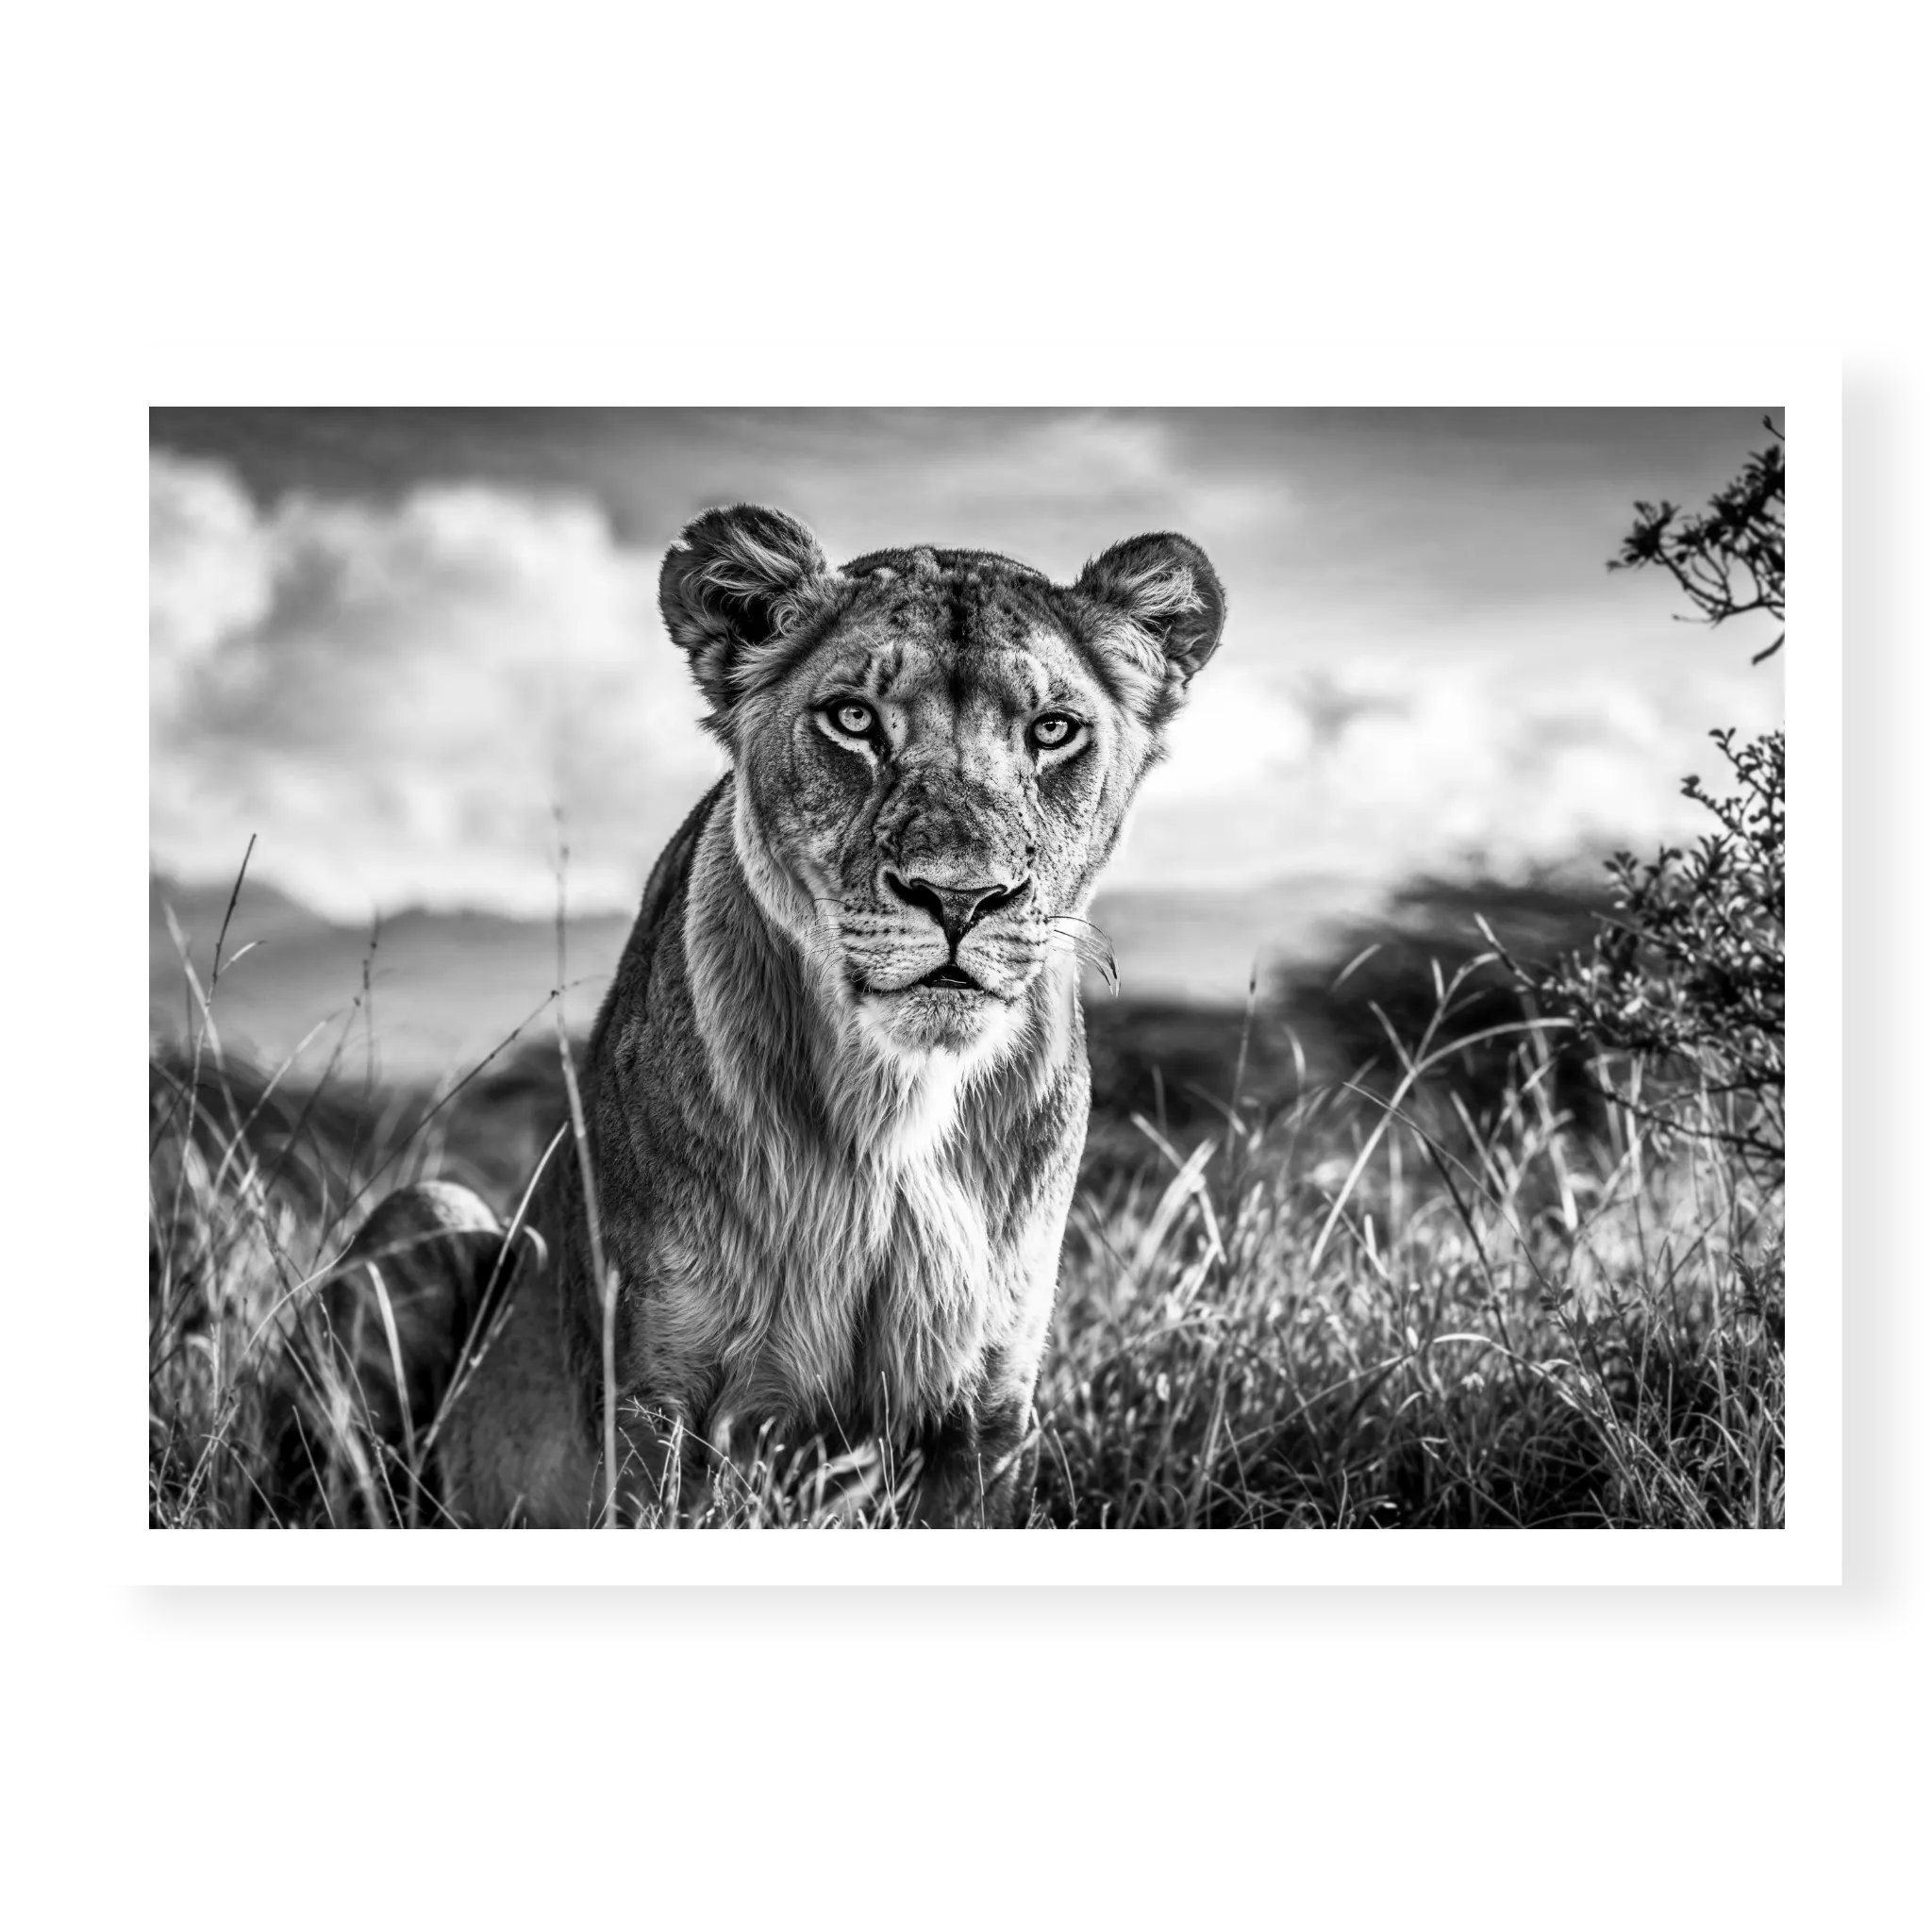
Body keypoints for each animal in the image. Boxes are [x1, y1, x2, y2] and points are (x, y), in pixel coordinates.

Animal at [325, 505, 1225, 1526]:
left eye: (1053, 730)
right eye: (853, 718)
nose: (959, 897)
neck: (896, 1108)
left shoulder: (987, 1409)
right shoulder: (655, 1403)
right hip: (428, 1208)